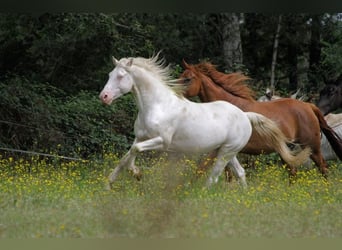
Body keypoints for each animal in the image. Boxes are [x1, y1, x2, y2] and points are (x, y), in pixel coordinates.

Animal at [99, 53, 310, 188]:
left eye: (120, 76)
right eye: (109, 75)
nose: (104, 97)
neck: (157, 106)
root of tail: (245, 115)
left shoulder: (162, 142)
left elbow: (134, 152)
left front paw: (136, 173)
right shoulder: (141, 138)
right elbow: (125, 158)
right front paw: (110, 184)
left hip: (225, 153)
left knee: (214, 177)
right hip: (228, 151)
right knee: (240, 172)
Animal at [179, 60, 342, 179]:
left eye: (188, 79)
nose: (175, 93)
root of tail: (309, 106)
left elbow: (207, 169)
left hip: (311, 146)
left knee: (323, 167)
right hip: (287, 149)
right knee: (293, 171)